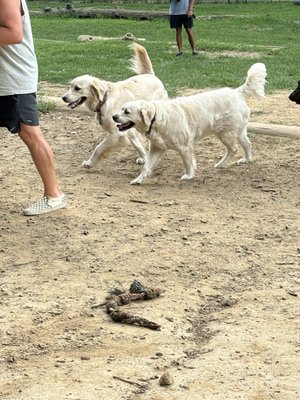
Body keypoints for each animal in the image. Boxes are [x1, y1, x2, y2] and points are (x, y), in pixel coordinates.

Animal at [113, 63, 268, 185]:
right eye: (121, 109)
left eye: (126, 111)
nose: (114, 116)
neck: (156, 118)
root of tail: (237, 91)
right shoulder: (156, 148)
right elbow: (146, 166)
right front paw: (138, 179)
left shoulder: (184, 146)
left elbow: (187, 162)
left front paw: (188, 175)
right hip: (238, 131)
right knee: (247, 144)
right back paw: (246, 160)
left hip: (226, 133)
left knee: (234, 148)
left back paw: (222, 164)